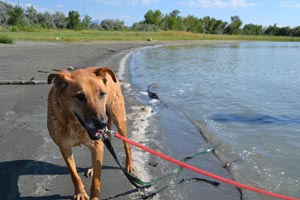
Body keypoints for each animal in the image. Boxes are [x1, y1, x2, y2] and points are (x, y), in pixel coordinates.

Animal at [47, 67, 134, 200]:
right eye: (80, 96)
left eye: (102, 94)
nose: (102, 123)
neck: (75, 124)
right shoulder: (64, 147)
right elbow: (74, 174)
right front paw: (80, 192)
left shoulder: (97, 144)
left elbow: (96, 183)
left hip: (118, 119)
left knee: (126, 145)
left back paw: (129, 164)